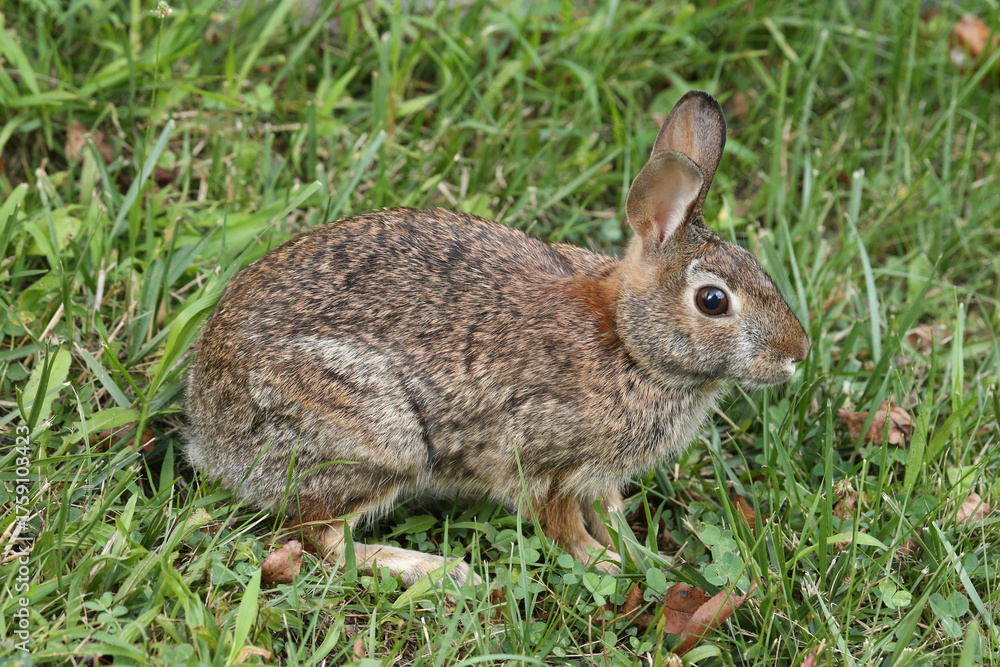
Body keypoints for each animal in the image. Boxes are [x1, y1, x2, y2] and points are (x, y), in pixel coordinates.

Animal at [186, 90, 810, 588]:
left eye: (756, 264)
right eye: (713, 301)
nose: (796, 356)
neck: (629, 344)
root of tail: (209, 433)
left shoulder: (598, 476)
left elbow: (609, 511)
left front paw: (640, 556)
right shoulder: (541, 460)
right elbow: (562, 526)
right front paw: (605, 566)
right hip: (379, 436)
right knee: (319, 536)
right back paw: (436, 569)